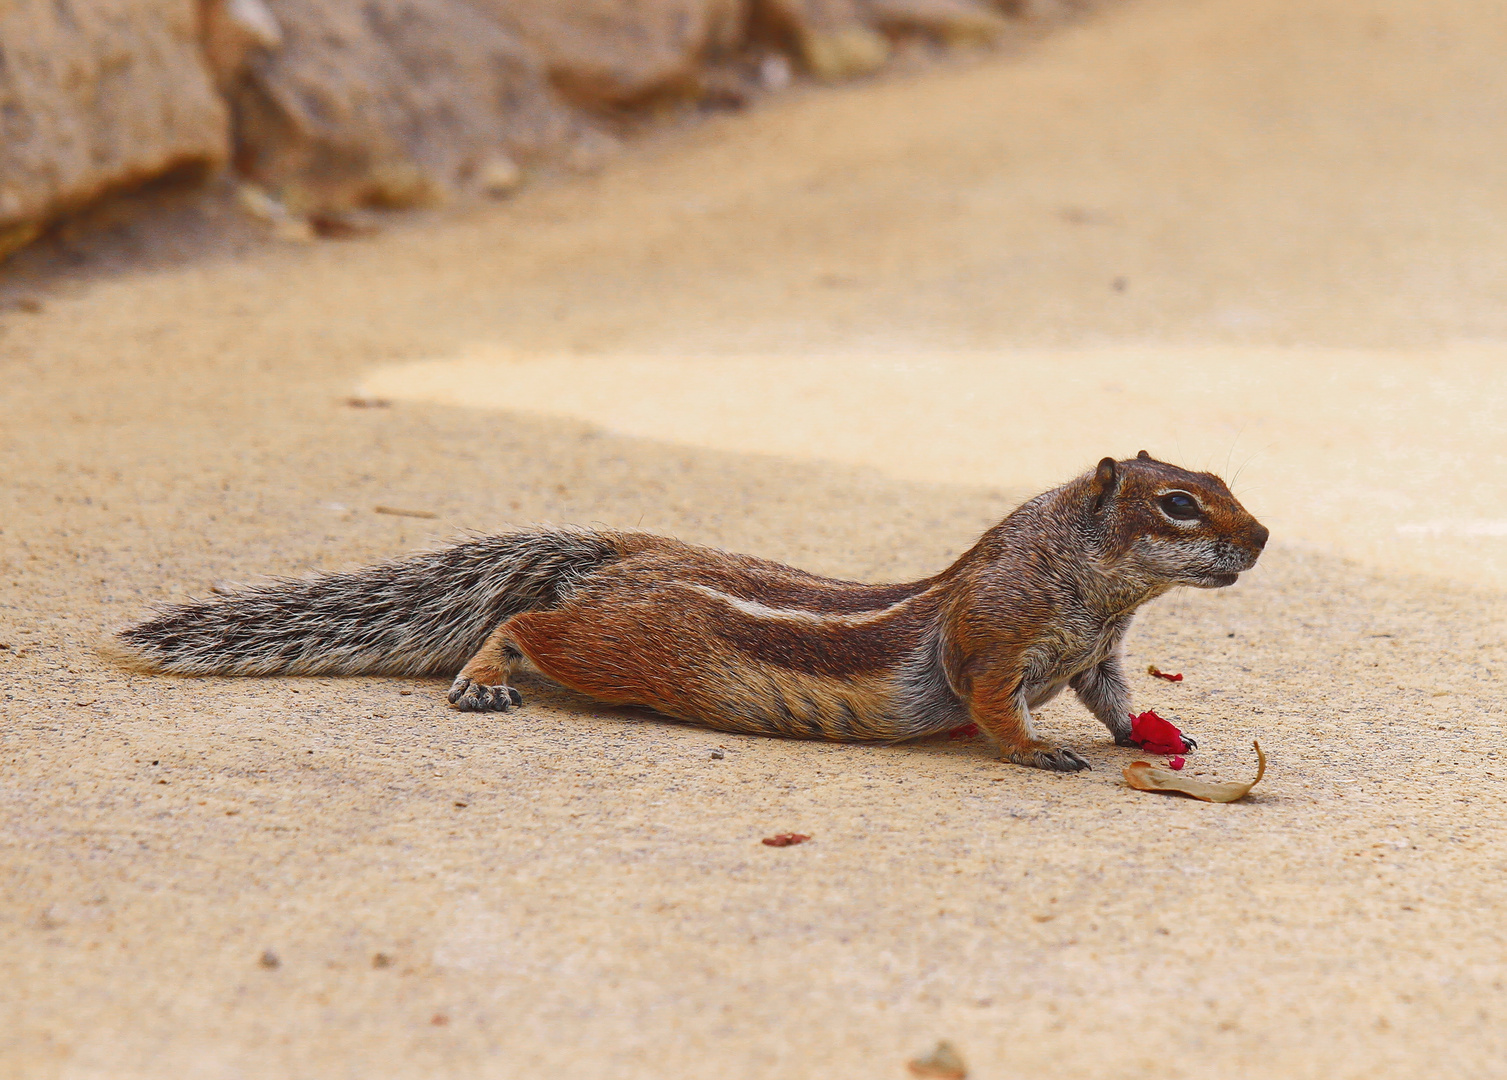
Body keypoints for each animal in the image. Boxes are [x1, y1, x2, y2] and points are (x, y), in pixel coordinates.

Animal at [120, 451, 1271, 771]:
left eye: (1221, 479)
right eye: (1176, 505)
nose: (1261, 539)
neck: (1092, 592)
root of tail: (622, 555)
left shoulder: (1095, 655)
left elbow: (1113, 697)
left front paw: (1152, 733)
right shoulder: (993, 639)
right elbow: (994, 704)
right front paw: (1041, 753)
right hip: (617, 650)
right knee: (527, 629)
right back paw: (485, 676)